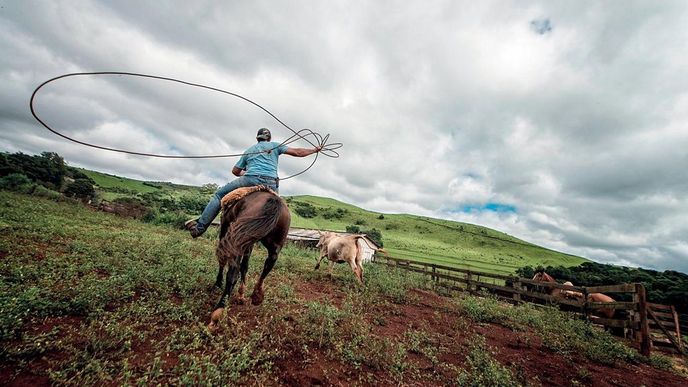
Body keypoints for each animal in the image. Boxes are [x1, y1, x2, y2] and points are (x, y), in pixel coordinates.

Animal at [210, 188, 290, 330]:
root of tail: (274, 200)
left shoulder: (225, 230)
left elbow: (224, 261)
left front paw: (218, 283)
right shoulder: (249, 243)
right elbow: (245, 266)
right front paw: (241, 295)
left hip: (236, 238)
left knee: (232, 273)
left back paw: (218, 312)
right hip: (271, 244)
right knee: (269, 263)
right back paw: (257, 295)